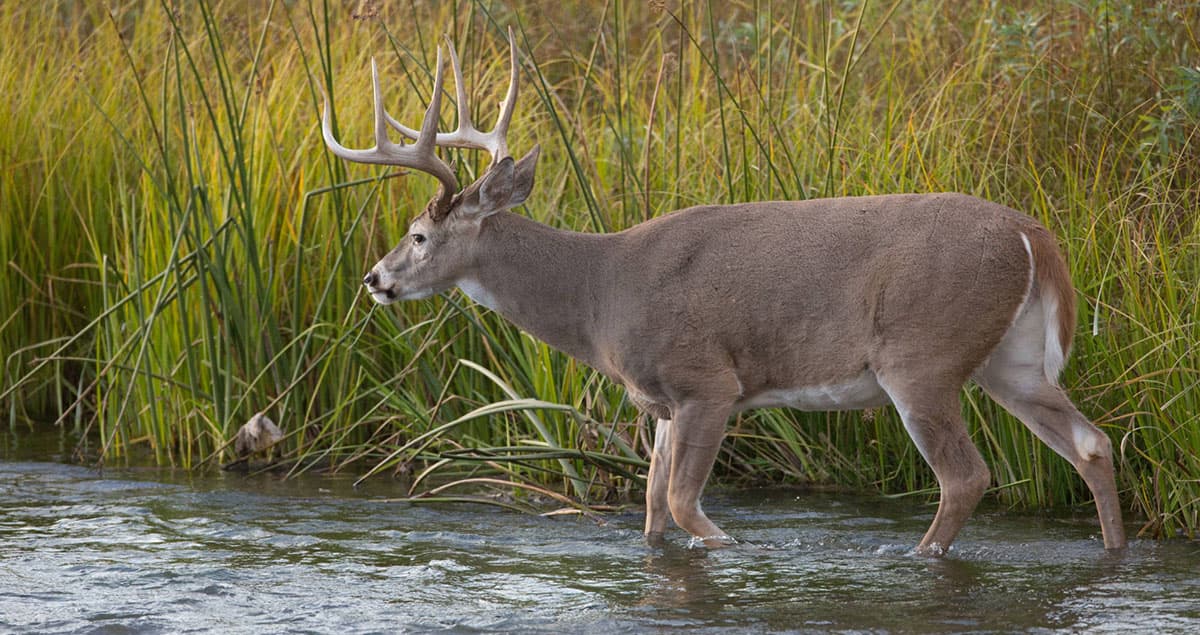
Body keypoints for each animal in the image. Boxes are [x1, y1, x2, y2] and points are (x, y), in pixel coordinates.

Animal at [321, 29, 1123, 554]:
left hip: (921, 353)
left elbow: (681, 504)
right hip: (1007, 358)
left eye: (418, 237)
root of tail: (1031, 232)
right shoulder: (660, 401)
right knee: (1091, 442)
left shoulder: (709, 379)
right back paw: (1112, 551)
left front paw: (733, 551)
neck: (598, 290)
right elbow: (650, 510)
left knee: (966, 476)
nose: (374, 278)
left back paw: (918, 557)